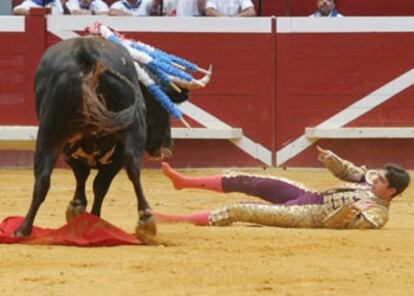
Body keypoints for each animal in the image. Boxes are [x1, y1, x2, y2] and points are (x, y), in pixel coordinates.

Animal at [14, 37, 188, 242]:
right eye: (161, 105)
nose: (166, 146)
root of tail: (85, 51)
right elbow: (98, 184)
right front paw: (89, 216)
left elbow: (84, 177)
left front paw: (80, 212)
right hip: (133, 128)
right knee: (132, 167)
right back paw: (146, 219)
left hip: (48, 134)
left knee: (42, 178)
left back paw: (23, 229)